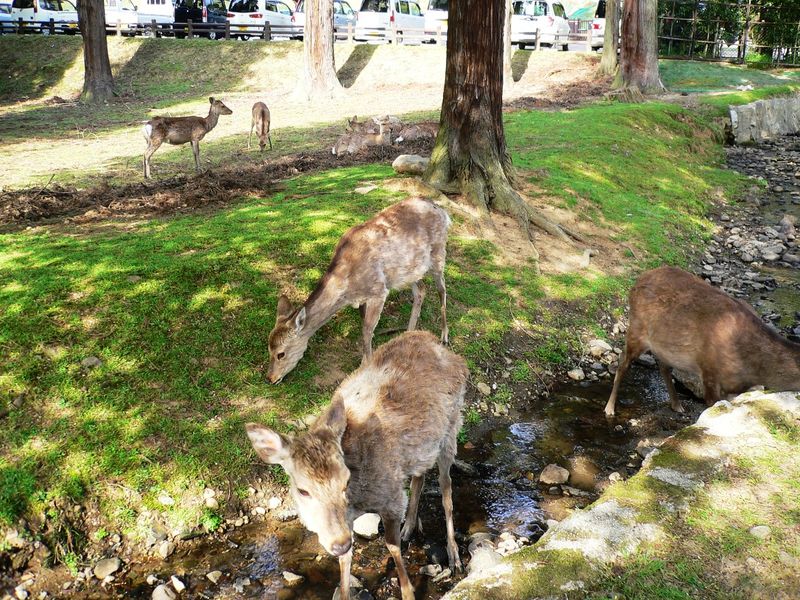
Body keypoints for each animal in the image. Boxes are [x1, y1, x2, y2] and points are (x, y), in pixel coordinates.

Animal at [245, 330, 468, 600]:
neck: (358, 502)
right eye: (303, 490)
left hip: (452, 427)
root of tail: (439, 344)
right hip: (424, 448)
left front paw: (408, 592)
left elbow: (391, 546)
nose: (338, 543)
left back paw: (454, 555)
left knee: (447, 489)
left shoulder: (392, 497)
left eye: (345, 481)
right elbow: (345, 562)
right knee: (420, 476)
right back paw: (410, 527)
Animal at [268, 197, 450, 384]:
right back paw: (408, 334)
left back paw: (444, 336)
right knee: (421, 290)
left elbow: (367, 330)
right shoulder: (364, 298)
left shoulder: (379, 291)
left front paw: (365, 366)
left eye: (281, 354)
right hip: (409, 271)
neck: (348, 288)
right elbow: (366, 327)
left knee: (442, 289)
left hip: (439, 253)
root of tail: (441, 210)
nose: (270, 378)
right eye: (268, 349)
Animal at [604, 268, 800, 418]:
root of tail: (636, 282)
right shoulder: (710, 372)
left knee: (663, 367)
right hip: (637, 330)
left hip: (663, 344)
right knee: (623, 362)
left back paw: (677, 405)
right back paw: (609, 408)